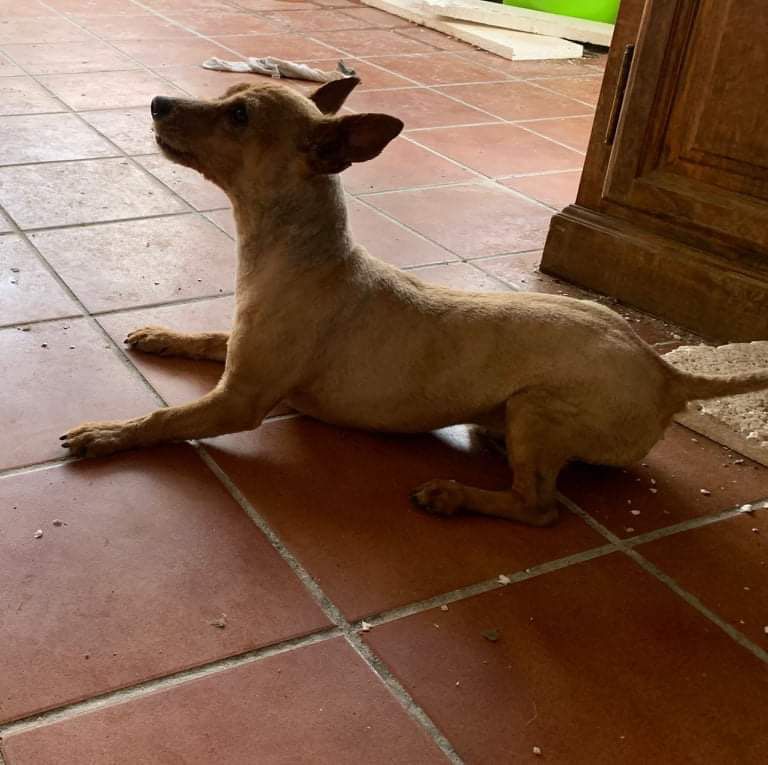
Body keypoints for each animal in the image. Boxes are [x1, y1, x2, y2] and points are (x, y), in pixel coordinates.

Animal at [61, 78, 768, 526]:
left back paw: (456, 496)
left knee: (539, 508)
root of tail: (667, 372)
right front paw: (163, 337)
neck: (297, 254)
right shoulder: (240, 348)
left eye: (240, 117)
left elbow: (165, 419)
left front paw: (108, 432)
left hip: (537, 409)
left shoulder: (240, 402)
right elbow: (209, 337)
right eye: (225, 96)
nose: (157, 102)